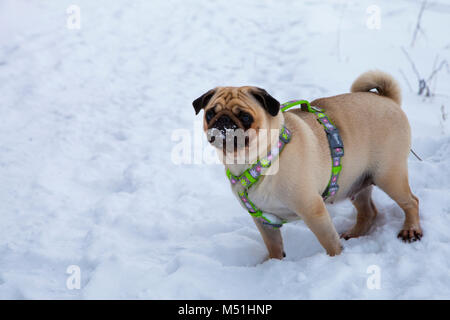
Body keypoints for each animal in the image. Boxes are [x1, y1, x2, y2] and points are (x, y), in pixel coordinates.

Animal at [192, 71, 422, 258]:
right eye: (210, 113)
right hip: (355, 182)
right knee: (369, 212)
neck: (256, 160)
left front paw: (336, 259)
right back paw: (355, 234)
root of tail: (387, 99)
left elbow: (329, 242)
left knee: (411, 201)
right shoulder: (264, 221)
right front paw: (274, 265)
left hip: (388, 176)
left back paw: (411, 230)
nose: (223, 121)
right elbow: (274, 247)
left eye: (245, 116)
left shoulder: (312, 210)